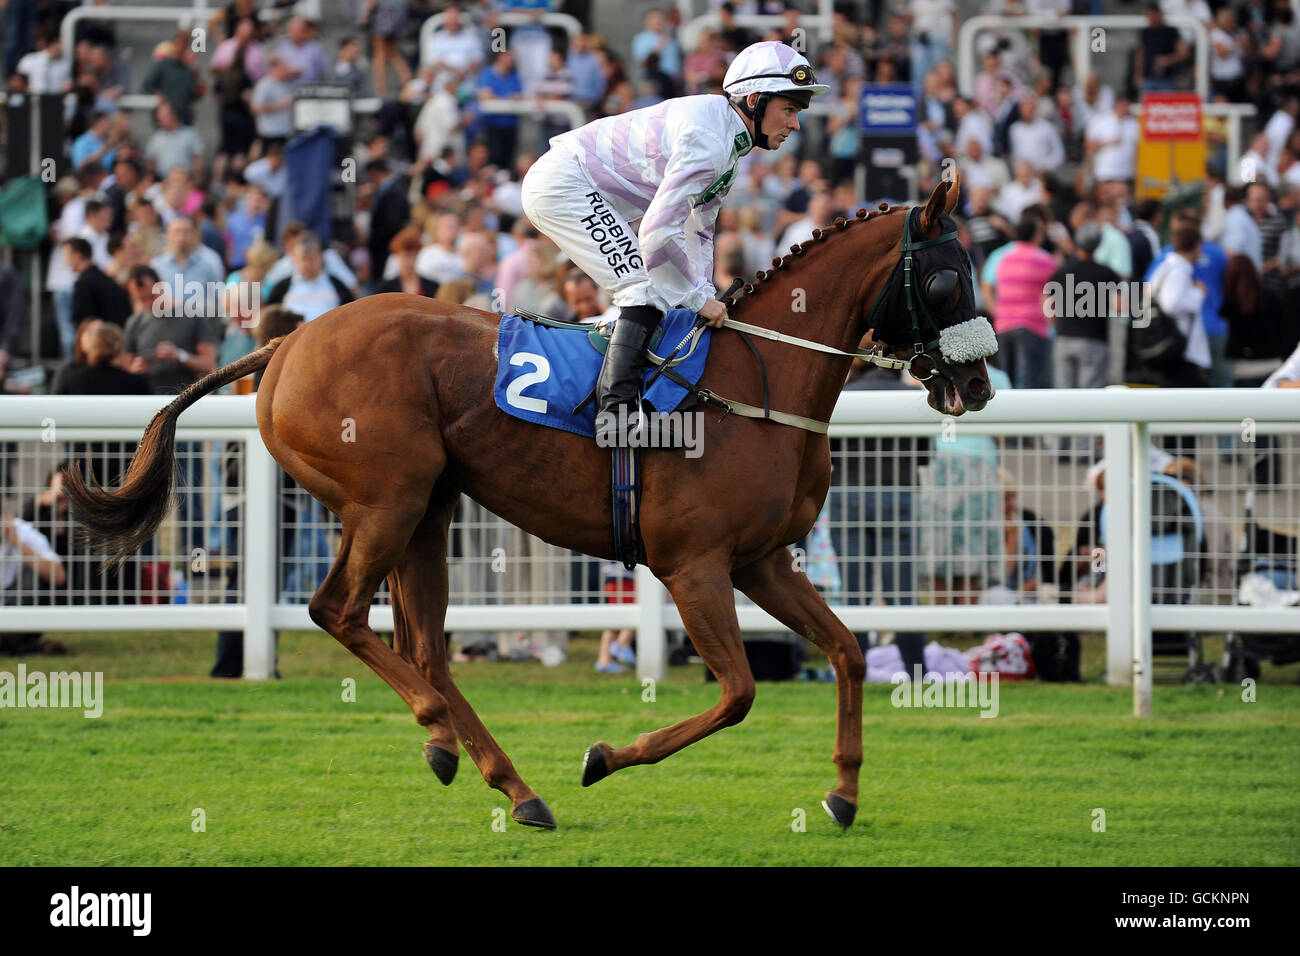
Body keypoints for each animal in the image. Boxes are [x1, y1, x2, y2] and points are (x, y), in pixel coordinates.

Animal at [63, 170, 993, 832]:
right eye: (950, 281)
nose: (979, 384)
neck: (753, 385)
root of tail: (286, 342)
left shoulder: (761, 560)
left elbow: (844, 650)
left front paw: (843, 792)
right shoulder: (694, 564)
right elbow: (736, 693)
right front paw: (604, 756)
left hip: (429, 510)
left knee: (424, 646)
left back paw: (497, 776)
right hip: (385, 501)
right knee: (339, 611)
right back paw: (448, 733)